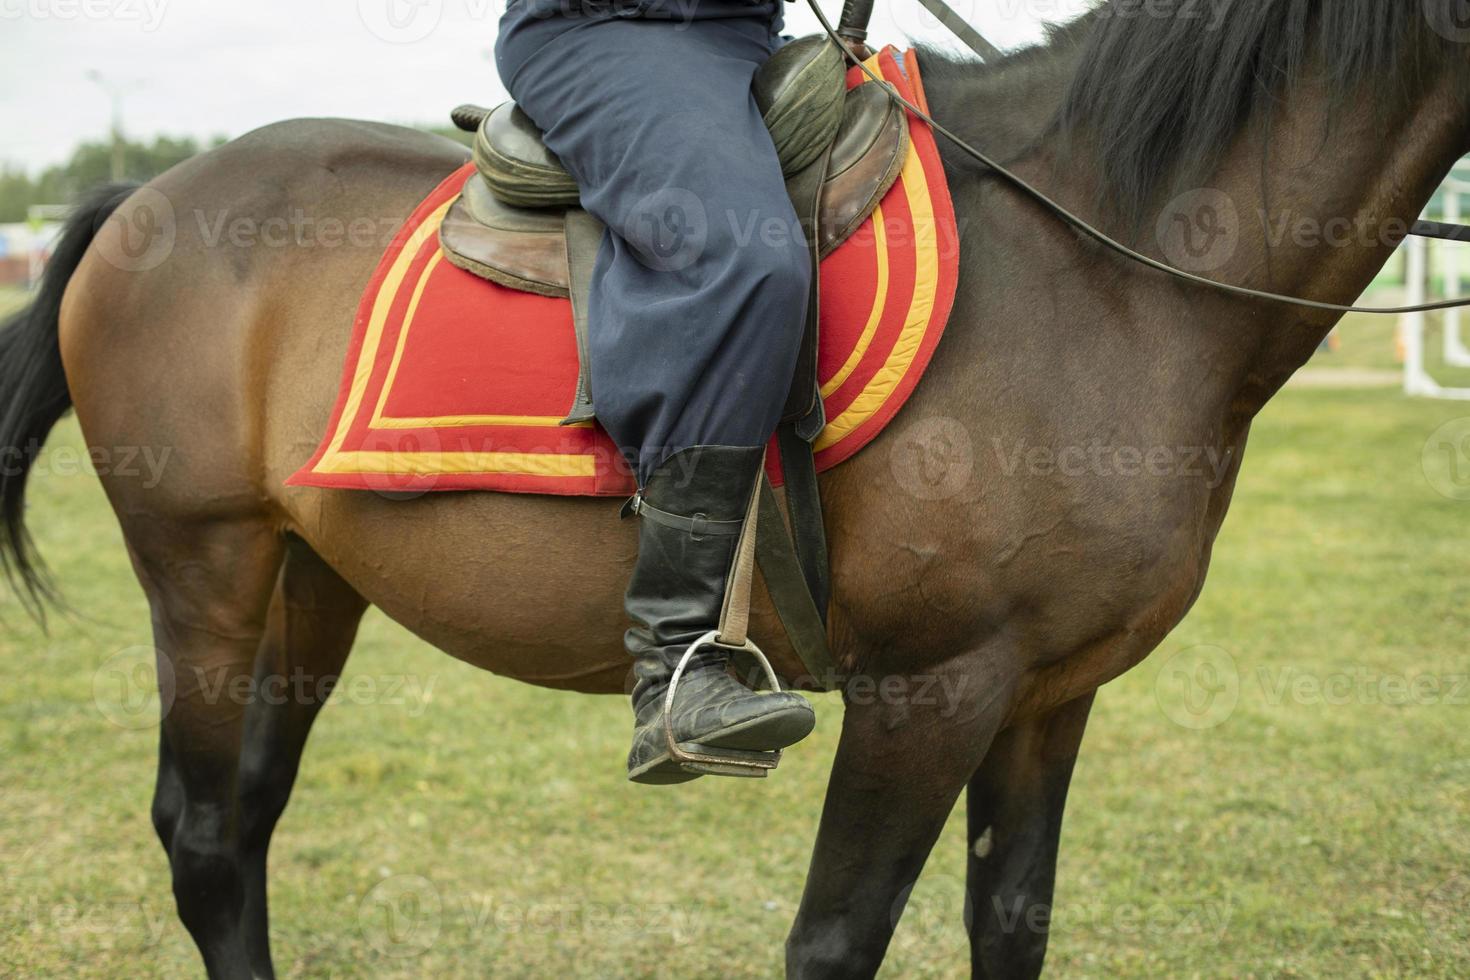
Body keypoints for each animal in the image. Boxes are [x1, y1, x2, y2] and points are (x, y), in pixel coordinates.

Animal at [0, 3, 1464, 975]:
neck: (1099, 269)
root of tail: (145, 194)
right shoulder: (929, 691)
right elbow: (834, 940)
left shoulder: (1052, 693)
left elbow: (1010, 924)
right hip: (204, 572)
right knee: (201, 829)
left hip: (309, 580)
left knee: (244, 823)